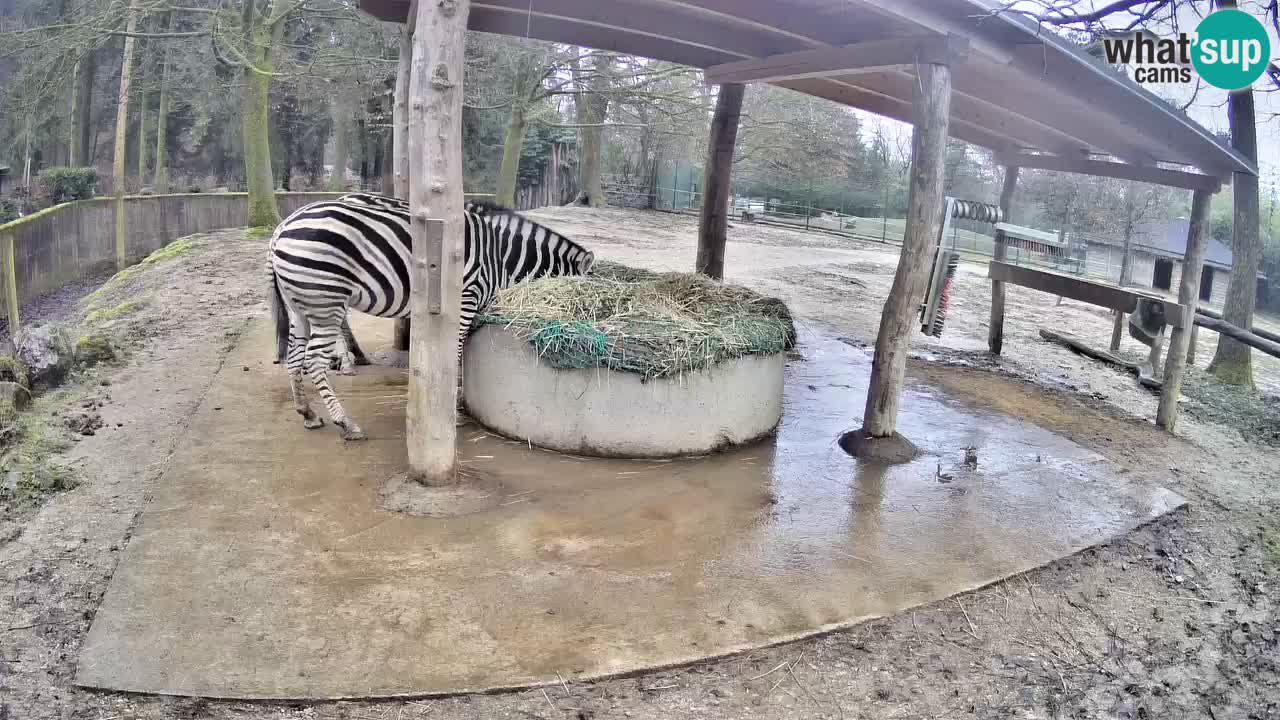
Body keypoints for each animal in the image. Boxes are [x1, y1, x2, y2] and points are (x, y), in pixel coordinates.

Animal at [270, 194, 596, 441]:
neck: (500, 257)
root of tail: (281, 228)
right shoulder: (466, 299)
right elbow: (457, 352)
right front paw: (456, 407)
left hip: (300, 305)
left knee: (296, 357)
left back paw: (308, 413)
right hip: (326, 300)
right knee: (314, 360)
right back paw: (346, 422)